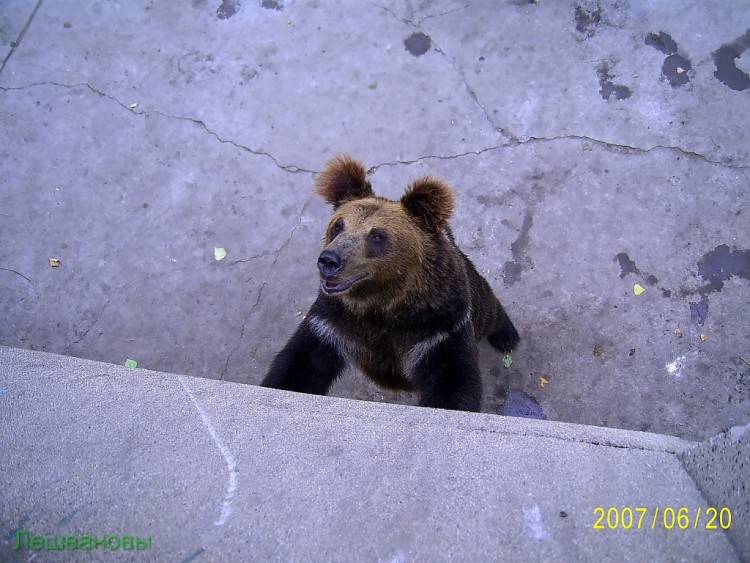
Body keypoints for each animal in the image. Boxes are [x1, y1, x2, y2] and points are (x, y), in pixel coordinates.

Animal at [262, 156, 520, 412]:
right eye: (339, 225)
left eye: (377, 236)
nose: (329, 260)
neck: (383, 304)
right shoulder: (330, 325)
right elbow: (297, 369)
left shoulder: (439, 330)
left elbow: (455, 385)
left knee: (490, 311)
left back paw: (507, 336)